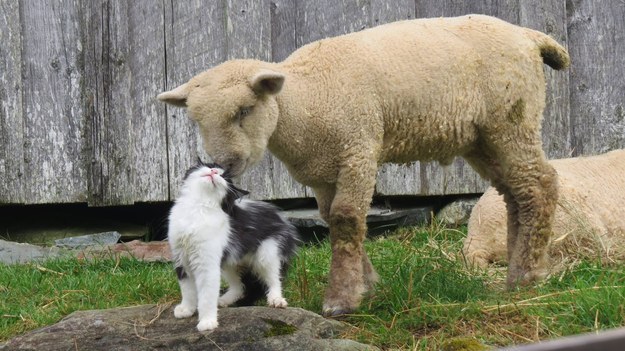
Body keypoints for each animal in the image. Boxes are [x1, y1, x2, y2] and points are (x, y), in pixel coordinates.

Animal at [168, 161, 300, 332]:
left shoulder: (207, 264)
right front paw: (186, 309)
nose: (214, 171)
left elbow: (206, 295)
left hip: (267, 253)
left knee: (274, 279)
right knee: (239, 286)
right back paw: (223, 301)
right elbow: (187, 289)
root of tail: (284, 220)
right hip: (230, 261)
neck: (197, 206)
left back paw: (276, 299)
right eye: (209, 166)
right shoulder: (181, 259)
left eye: (224, 177)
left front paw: (207, 322)